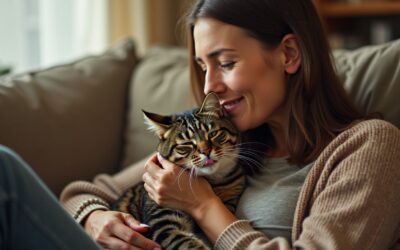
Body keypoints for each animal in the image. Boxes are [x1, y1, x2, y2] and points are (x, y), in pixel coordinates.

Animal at [111, 93, 245, 249]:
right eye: (186, 144)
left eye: (213, 134)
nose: (206, 151)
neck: (212, 183)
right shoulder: (163, 223)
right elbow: (188, 243)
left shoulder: (230, 198)